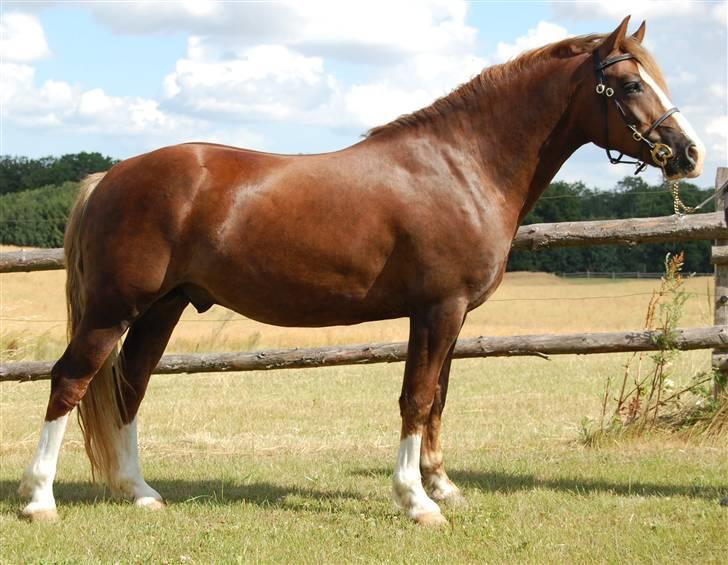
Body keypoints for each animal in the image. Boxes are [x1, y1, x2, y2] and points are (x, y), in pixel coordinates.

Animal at [19, 16, 704, 524]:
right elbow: (416, 397)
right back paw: (39, 499)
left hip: (163, 307)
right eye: (631, 85)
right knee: (70, 380)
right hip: (114, 308)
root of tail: (111, 175)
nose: (691, 153)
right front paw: (417, 502)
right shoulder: (437, 309)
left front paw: (443, 487)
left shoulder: (451, 316)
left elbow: (438, 399)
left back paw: (140, 492)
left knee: (130, 385)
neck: (460, 165)